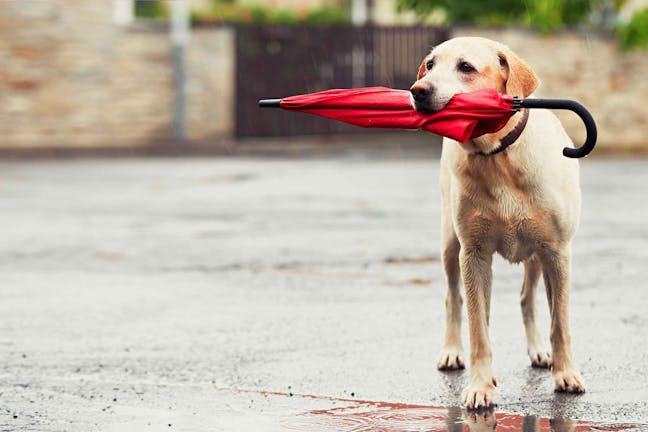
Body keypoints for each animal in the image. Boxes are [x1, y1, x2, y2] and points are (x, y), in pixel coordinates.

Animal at [412, 37, 584, 408]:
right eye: (430, 65)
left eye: (466, 67)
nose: (418, 90)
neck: (498, 157)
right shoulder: (474, 253)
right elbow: (478, 327)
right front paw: (480, 385)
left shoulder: (557, 252)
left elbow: (560, 323)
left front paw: (565, 373)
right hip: (451, 245)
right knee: (456, 300)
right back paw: (452, 351)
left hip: (536, 255)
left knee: (526, 297)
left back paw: (539, 351)